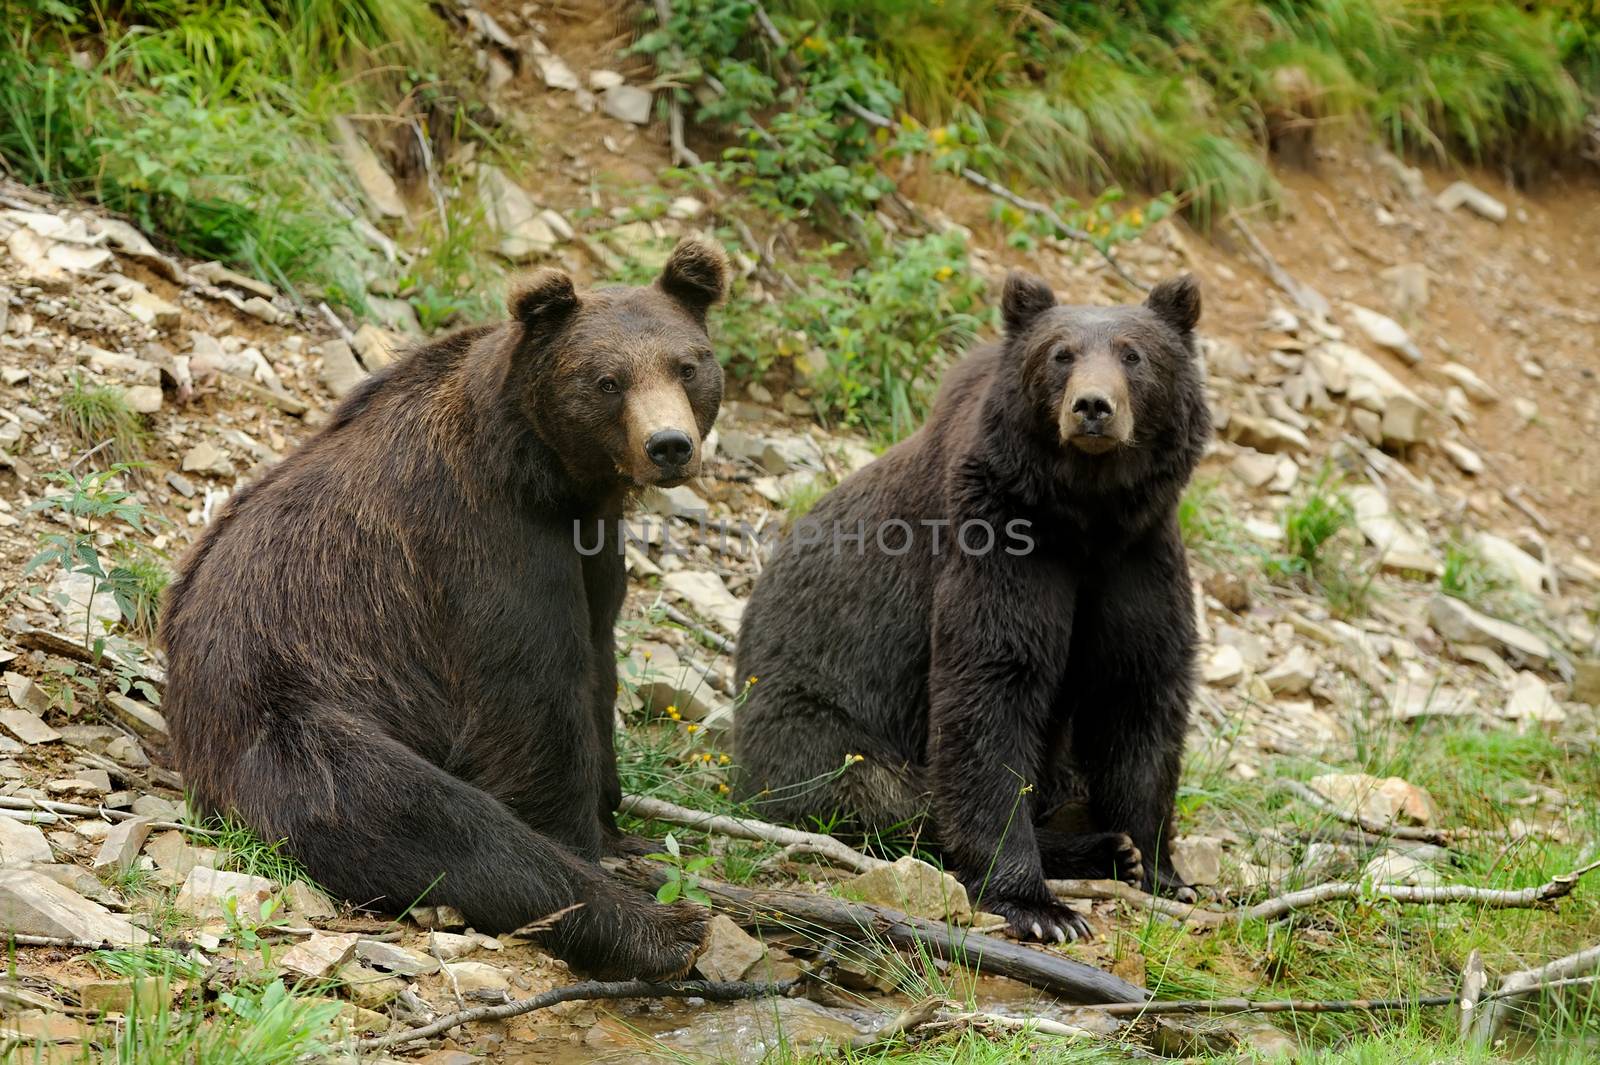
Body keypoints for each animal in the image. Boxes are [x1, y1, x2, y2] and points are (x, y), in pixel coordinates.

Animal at [156, 236, 732, 972]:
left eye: (687, 366)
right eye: (607, 380)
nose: (668, 445)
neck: (554, 478)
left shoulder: (593, 548)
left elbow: (600, 666)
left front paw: (621, 826)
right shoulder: (484, 542)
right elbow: (533, 703)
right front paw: (590, 839)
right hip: (298, 713)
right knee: (433, 820)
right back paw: (663, 929)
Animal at [732, 271, 1203, 940]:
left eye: (1134, 354)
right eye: (1060, 354)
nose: (1092, 407)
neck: (1086, 517)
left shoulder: (1138, 558)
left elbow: (1139, 692)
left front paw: (1162, 868)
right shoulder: (999, 537)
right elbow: (990, 689)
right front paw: (1041, 907)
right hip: (814, 718)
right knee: (874, 794)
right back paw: (1087, 847)